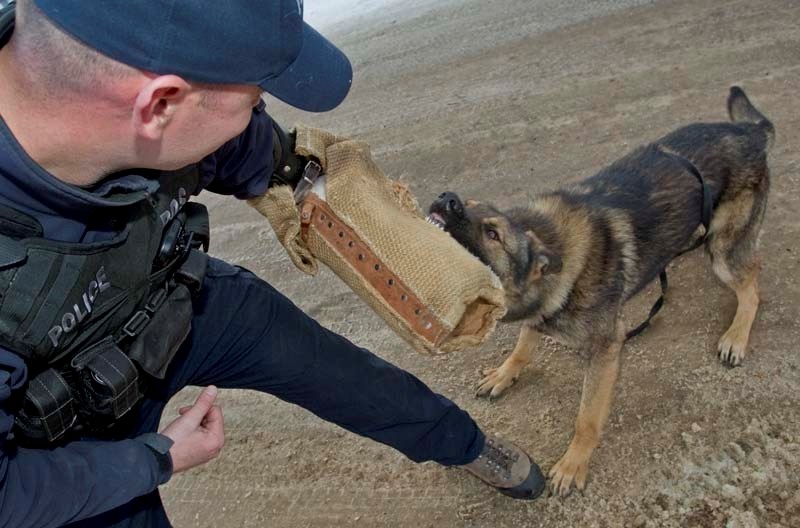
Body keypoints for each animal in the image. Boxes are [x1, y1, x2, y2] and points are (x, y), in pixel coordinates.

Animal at [428, 86, 772, 496]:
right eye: (469, 204)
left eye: (492, 233)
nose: (446, 196)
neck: (548, 243)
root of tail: (749, 133)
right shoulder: (539, 313)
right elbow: (524, 344)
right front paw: (505, 372)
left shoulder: (607, 349)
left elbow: (587, 417)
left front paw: (573, 464)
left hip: (723, 251)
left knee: (751, 287)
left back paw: (736, 336)